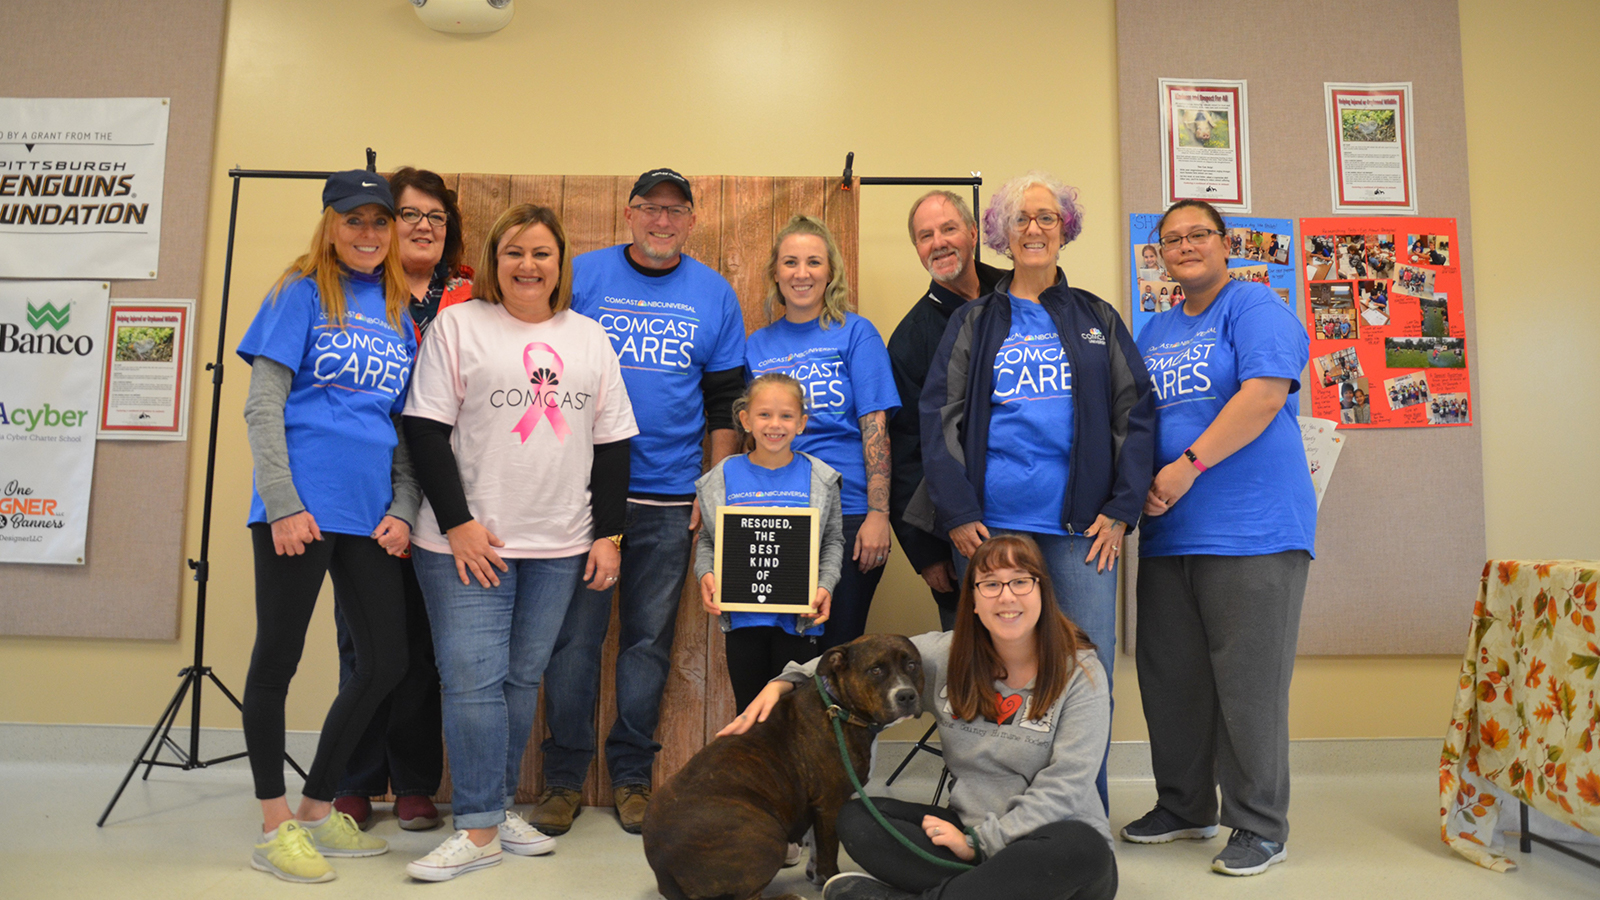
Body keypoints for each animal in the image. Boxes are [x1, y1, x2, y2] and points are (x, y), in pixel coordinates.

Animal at [640, 630, 921, 896]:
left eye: (912, 665)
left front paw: (815, 874)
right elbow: (829, 850)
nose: (907, 695)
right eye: (875, 670)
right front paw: (830, 878)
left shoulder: (818, 807)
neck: (839, 708)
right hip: (767, 836)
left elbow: (817, 845)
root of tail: (663, 869)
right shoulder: (831, 803)